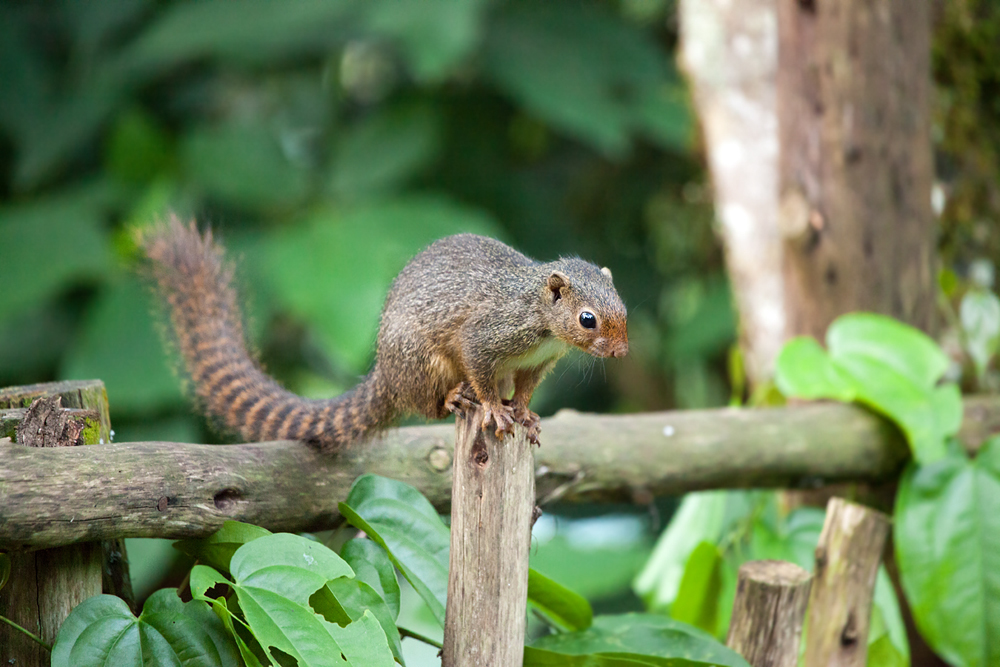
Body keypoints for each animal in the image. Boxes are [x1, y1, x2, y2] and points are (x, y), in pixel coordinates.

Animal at [141, 214, 628, 450]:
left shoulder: (535, 363)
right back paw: (456, 398)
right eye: (587, 319)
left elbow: (524, 390)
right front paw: (495, 409)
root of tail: (385, 377)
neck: (542, 320)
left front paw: (525, 414)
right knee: (427, 404)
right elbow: (481, 370)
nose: (621, 352)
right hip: (422, 363)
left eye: (622, 307)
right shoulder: (490, 334)